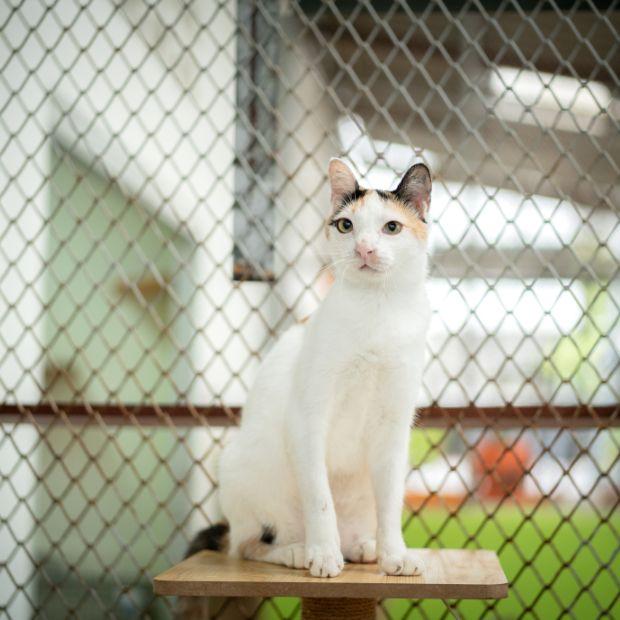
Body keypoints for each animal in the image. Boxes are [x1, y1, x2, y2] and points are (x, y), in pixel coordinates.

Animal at [189, 158, 432, 578]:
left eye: (392, 227)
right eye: (346, 225)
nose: (364, 248)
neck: (378, 310)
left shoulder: (393, 427)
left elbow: (390, 506)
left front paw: (395, 555)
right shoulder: (307, 418)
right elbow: (319, 499)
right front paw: (323, 554)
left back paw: (363, 546)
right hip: (242, 469)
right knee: (246, 546)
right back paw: (298, 551)